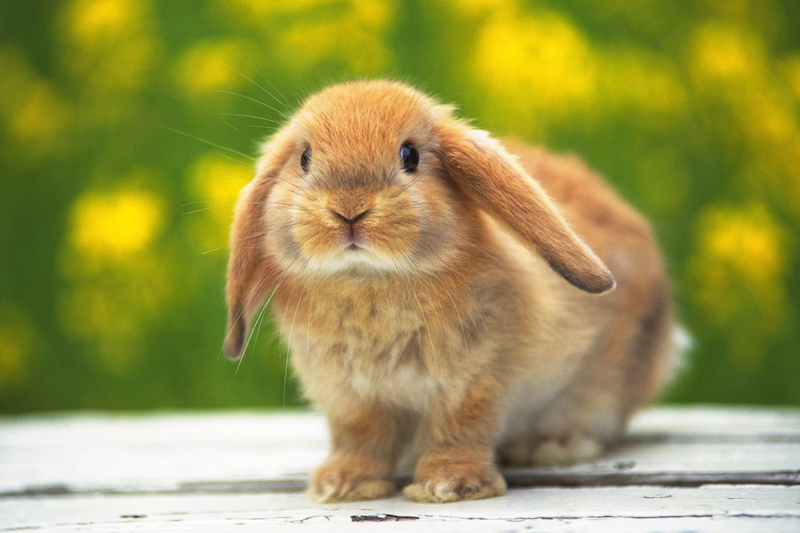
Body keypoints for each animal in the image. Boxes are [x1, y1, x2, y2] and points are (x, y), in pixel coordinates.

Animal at [223, 80, 678, 504]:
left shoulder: (473, 380)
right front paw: (342, 485)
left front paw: (448, 485)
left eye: (410, 155)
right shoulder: (349, 396)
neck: (369, 280)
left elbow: (459, 430)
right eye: (304, 158)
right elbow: (361, 437)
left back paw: (551, 446)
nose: (349, 209)